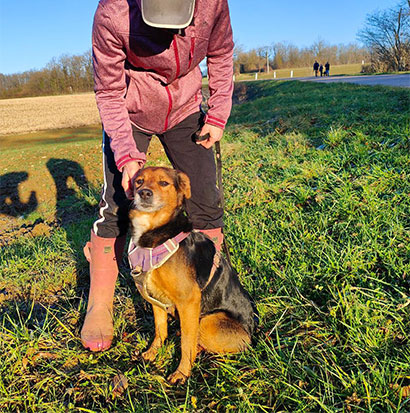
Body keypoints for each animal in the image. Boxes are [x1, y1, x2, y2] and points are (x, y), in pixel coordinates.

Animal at [128, 166, 257, 384]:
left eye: (164, 183)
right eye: (139, 181)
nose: (144, 193)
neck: (156, 231)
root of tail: (253, 332)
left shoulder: (188, 301)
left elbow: (186, 343)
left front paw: (181, 373)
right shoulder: (155, 297)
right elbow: (159, 329)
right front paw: (152, 353)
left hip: (207, 322)